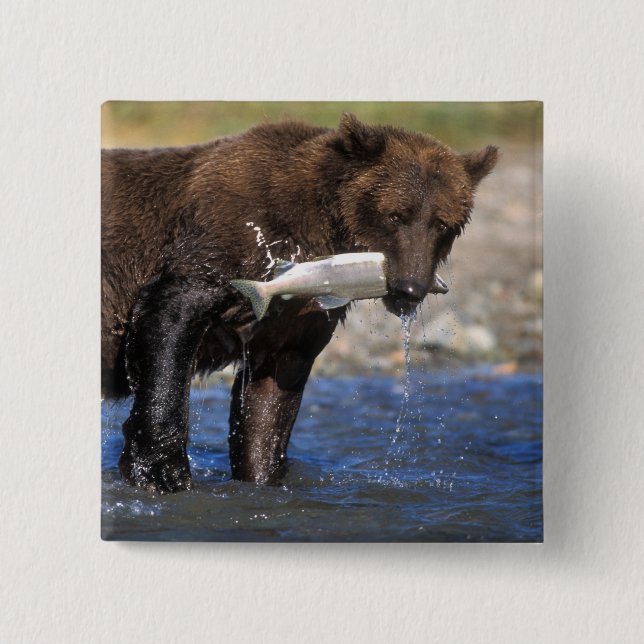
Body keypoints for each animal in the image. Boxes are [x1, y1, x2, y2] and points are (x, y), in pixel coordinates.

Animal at [101, 113, 498, 494]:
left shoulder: (295, 319)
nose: (410, 287)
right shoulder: (225, 240)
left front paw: (261, 475)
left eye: (442, 224)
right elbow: (170, 319)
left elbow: (270, 400)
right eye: (396, 215)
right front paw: (161, 472)